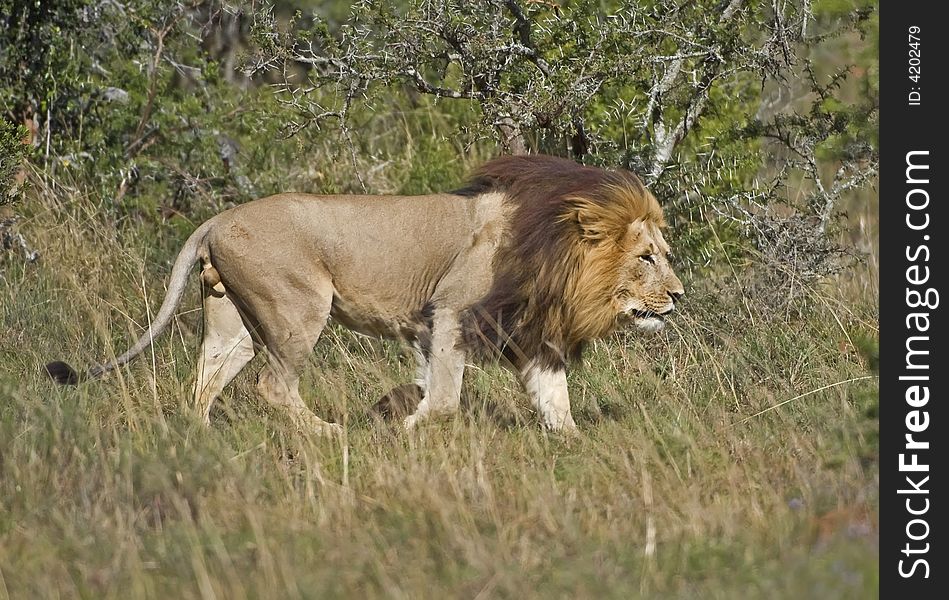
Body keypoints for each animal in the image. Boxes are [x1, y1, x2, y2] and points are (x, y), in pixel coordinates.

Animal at [46, 155, 680, 434]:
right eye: (645, 257)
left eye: (662, 253)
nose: (677, 296)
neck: (556, 258)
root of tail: (217, 219)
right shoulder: (449, 310)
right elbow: (444, 399)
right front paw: (400, 427)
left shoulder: (528, 336)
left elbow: (555, 402)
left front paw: (577, 444)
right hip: (299, 309)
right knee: (272, 386)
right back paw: (332, 434)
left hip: (233, 321)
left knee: (203, 383)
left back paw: (201, 440)